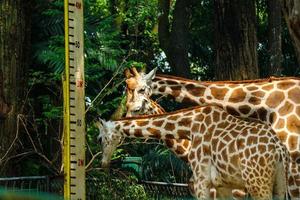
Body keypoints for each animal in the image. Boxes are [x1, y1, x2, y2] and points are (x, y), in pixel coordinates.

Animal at [98, 105, 290, 199]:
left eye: (100, 139)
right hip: (279, 184)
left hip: (258, 183)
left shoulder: (201, 181)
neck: (189, 127)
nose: (103, 164)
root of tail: (278, 148)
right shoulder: (223, 185)